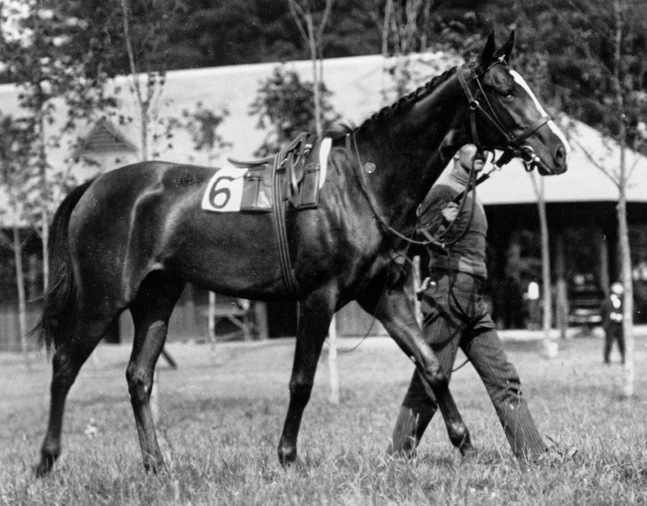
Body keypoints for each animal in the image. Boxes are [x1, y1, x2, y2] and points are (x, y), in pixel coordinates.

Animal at [38, 30, 568, 474]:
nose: (558, 151)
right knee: (64, 366)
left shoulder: (383, 294)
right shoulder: (318, 297)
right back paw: (47, 461)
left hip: (156, 299)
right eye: (505, 91)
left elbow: (432, 366)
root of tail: (94, 186)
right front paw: (287, 456)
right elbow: (302, 380)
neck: (361, 182)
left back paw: (156, 465)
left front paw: (465, 443)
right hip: (103, 299)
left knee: (138, 376)